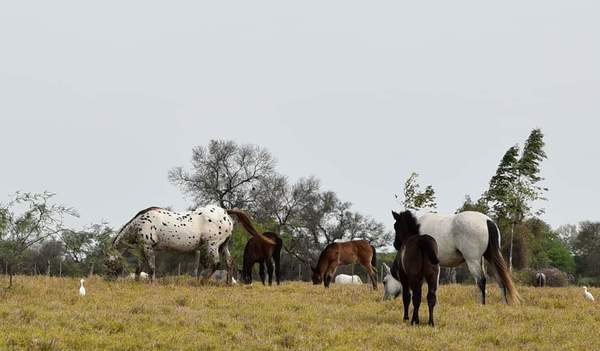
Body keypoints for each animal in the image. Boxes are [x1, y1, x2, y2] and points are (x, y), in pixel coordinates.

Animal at [109, 206, 274, 284]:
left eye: (108, 262)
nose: (112, 278)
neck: (139, 223)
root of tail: (225, 212)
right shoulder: (144, 248)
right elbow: (139, 268)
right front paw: (137, 282)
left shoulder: (148, 247)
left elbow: (151, 268)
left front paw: (151, 283)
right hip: (223, 246)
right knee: (229, 263)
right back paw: (228, 283)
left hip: (212, 245)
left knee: (215, 263)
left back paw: (202, 281)